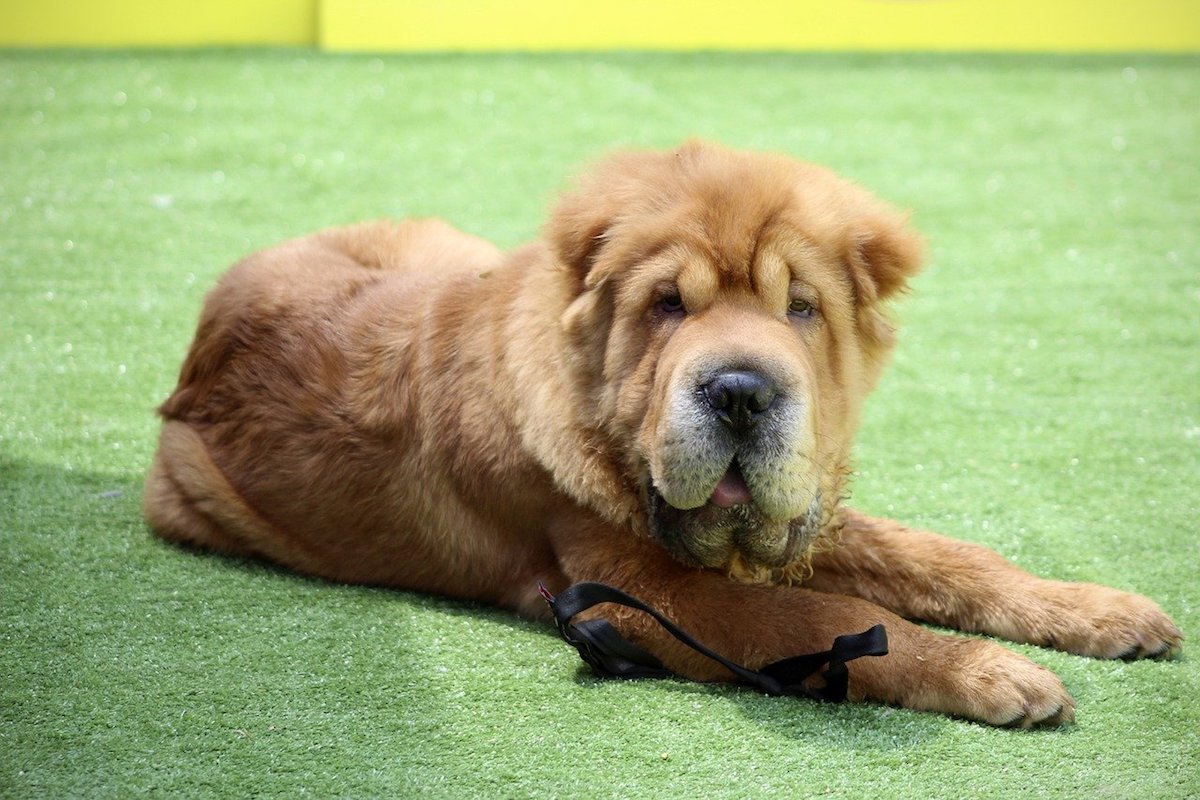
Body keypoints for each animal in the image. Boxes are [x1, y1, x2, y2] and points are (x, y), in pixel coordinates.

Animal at [142, 140, 1180, 729]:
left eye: (801, 308)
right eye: (667, 305)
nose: (740, 393)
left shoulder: (799, 513)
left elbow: (944, 560)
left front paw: (1098, 611)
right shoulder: (640, 595)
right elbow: (830, 620)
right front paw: (994, 674)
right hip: (193, 498)